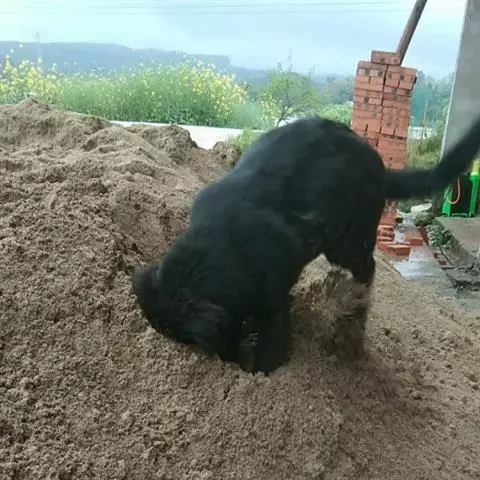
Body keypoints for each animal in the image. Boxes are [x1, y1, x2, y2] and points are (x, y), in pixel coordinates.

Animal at [132, 114, 480, 374]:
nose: (227, 360)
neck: (216, 253)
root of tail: (379, 165)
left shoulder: (273, 301)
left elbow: (271, 348)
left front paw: (262, 370)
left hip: (347, 241)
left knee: (367, 267)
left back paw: (355, 309)